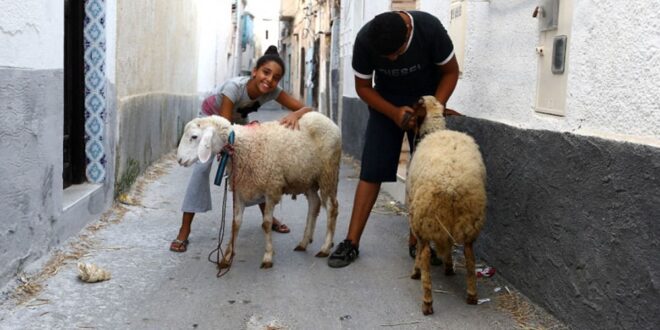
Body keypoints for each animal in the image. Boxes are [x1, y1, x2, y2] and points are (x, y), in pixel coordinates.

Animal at [175, 111, 340, 268]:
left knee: (332, 207)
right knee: (314, 204)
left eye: (194, 137)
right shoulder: (240, 191)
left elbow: (266, 224)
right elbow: (235, 223)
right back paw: (304, 242)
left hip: (328, 173)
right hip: (308, 178)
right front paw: (226, 257)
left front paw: (267, 256)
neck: (242, 147)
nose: (179, 160)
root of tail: (326, 119)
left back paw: (325, 248)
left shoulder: (271, 189)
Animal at [404, 95, 488, 314]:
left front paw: (417, 271)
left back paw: (426, 300)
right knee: (469, 257)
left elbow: (419, 248)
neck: (434, 128)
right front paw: (449, 266)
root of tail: (452, 184)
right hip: (470, 220)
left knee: (424, 253)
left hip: (424, 218)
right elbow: (448, 245)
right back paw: (472, 295)